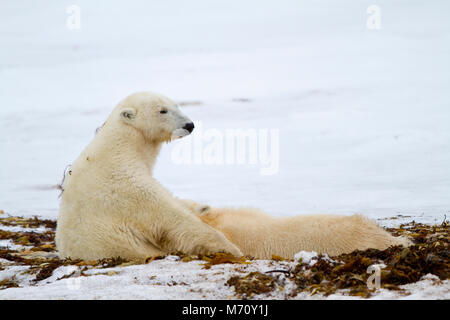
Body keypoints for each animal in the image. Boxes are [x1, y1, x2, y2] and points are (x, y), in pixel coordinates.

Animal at [55, 91, 243, 262]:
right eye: (162, 110)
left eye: (176, 105)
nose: (189, 125)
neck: (120, 147)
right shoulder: (126, 188)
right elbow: (171, 218)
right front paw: (231, 249)